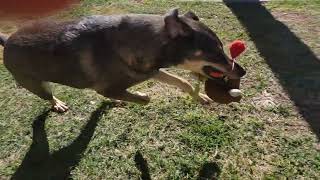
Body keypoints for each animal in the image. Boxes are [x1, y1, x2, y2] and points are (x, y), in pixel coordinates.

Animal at [0, 9, 245, 112]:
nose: (242, 72)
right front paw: (139, 97)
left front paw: (200, 96)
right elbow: (142, 98)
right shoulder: (108, 87)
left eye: (222, 48)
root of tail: (7, 39)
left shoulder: (151, 70)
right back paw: (58, 104)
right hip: (37, 85)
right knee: (48, 96)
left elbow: (181, 81)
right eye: (215, 52)